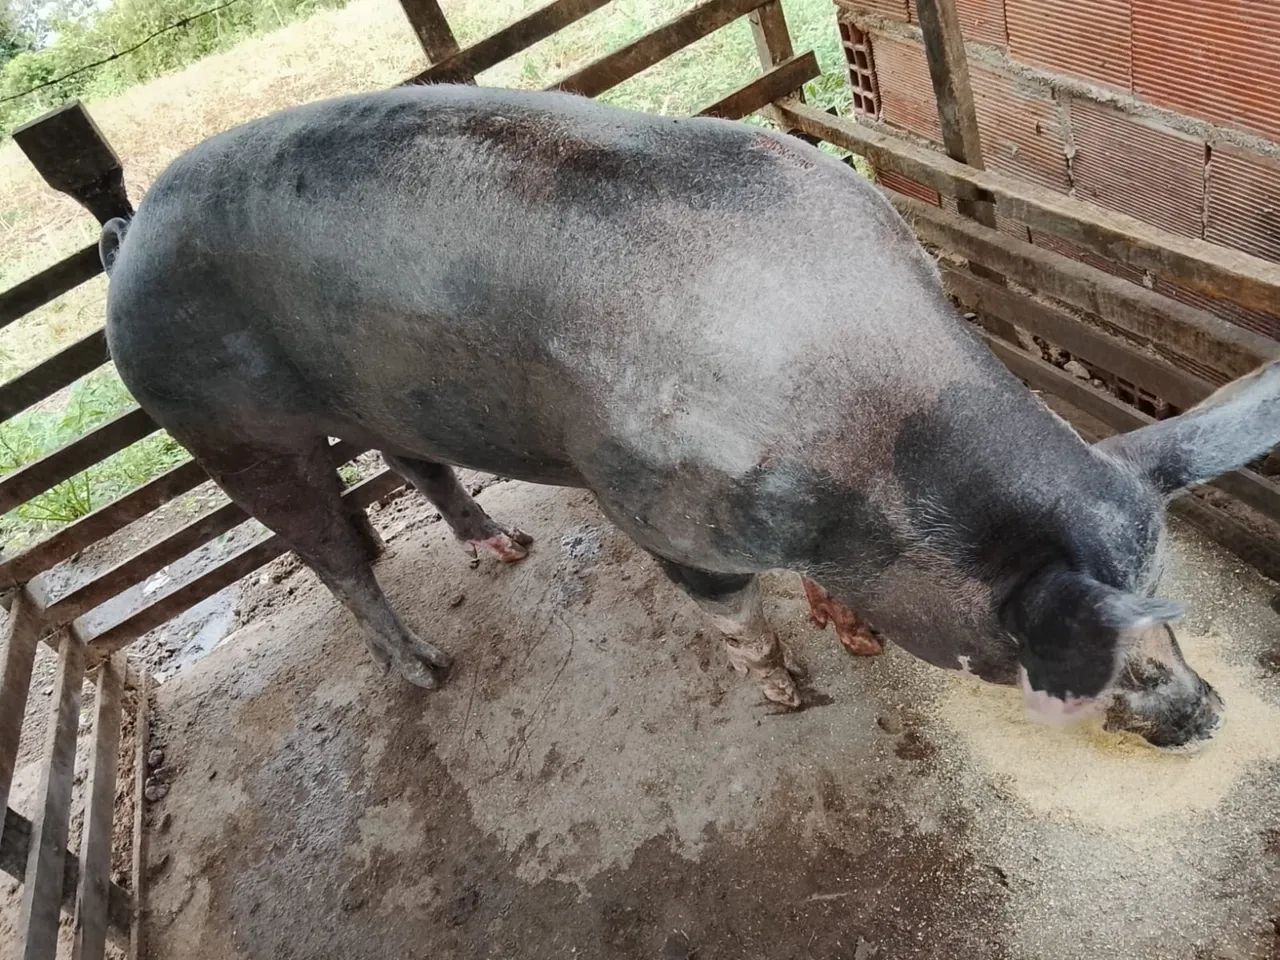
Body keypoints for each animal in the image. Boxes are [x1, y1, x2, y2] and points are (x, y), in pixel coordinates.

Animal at [99, 84, 1280, 750]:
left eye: (1171, 610)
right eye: (1098, 656)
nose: (1206, 714)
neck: (870, 430)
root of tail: (131, 232)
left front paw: (850, 633)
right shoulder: (653, 509)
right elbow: (729, 617)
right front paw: (788, 697)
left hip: (379, 392)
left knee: (418, 467)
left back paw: (509, 548)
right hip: (225, 428)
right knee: (334, 554)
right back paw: (427, 669)